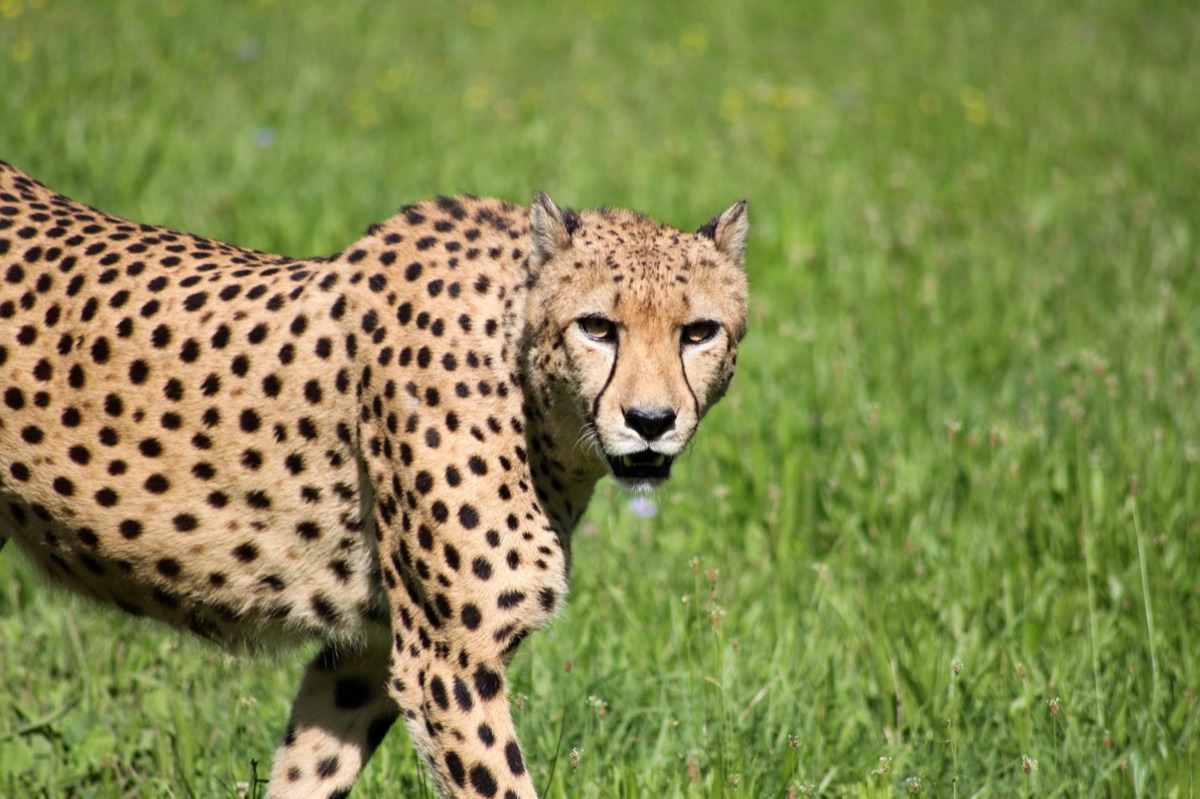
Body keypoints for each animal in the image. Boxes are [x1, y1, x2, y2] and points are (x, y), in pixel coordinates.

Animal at [0, 159, 749, 798]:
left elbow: (307, 769)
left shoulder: (369, 652)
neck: (532, 399)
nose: (650, 421)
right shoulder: (448, 659)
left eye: (698, 332)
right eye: (597, 326)